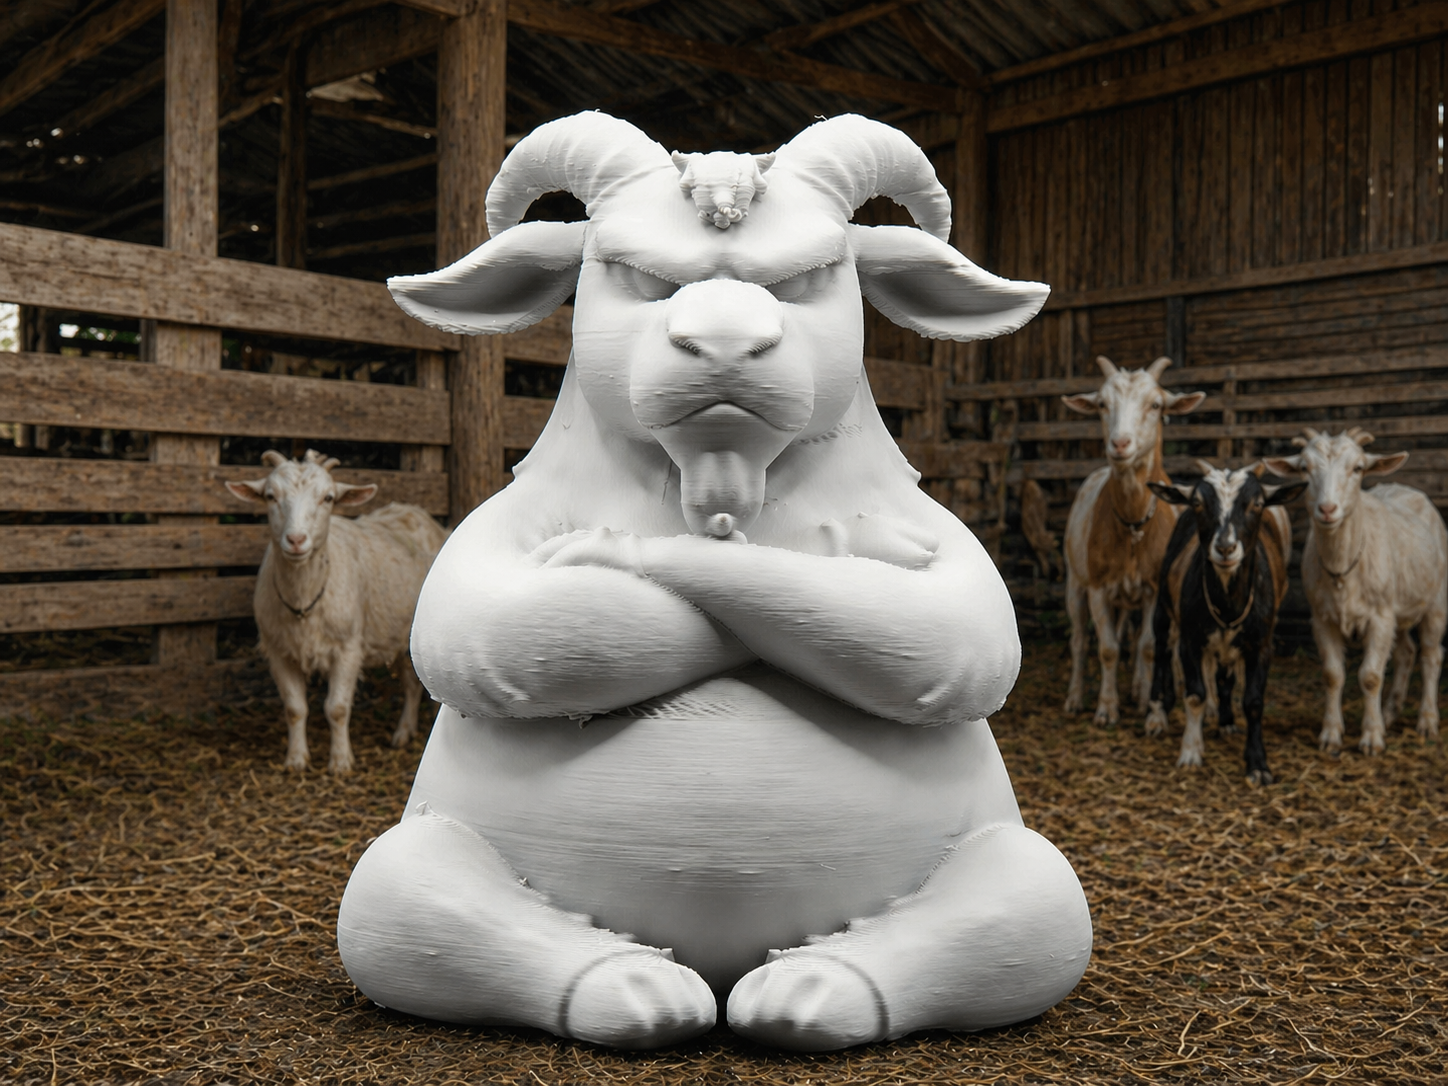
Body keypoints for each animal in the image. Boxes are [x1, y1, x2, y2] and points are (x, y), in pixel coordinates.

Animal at [225, 450, 447, 773]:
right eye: (270, 496)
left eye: (328, 498)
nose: (296, 540)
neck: (303, 597)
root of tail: (415, 511)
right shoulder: (278, 650)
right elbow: (294, 708)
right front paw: (296, 759)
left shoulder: (348, 648)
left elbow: (338, 708)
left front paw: (341, 762)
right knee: (411, 683)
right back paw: (405, 732)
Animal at [1060, 356, 1205, 724]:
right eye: (1101, 404)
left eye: (1156, 405)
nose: (1120, 444)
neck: (1134, 527)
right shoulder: (1098, 587)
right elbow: (1108, 648)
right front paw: (1106, 709)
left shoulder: (1155, 588)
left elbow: (1149, 647)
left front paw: (1153, 713)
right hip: (1075, 579)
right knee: (1079, 640)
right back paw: (1075, 697)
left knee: (1140, 640)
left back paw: (1140, 692)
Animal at [1146, 462, 1303, 782]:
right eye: (1198, 503)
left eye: (1257, 504)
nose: (1226, 548)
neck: (1229, 603)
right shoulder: (1191, 640)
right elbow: (1195, 695)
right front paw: (1190, 752)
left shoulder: (1261, 645)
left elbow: (1254, 702)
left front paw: (1257, 764)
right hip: (1164, 606)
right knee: (1162, 650)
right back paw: (1156, 715)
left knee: (1224, 674)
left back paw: (1226, 721)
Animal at [1263, 428, 1447, 754]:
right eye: (1304, 468)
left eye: (1358, 468)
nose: (1327, 509)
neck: (1342, 569)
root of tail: (1406, 488)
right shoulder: (1322, 619)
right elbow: (1332, 675)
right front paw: (1331, 734)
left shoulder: (1380, 618)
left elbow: (1370, 676)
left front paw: (1371, 737)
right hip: (1399, 609)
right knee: (1406, 653)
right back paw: (1390, 711)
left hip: (1435, 601)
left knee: (1431, 655)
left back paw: (1426, 720)